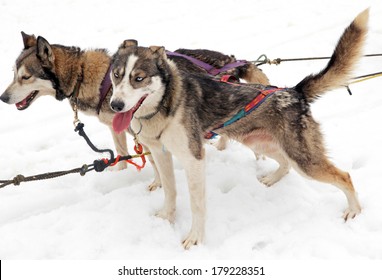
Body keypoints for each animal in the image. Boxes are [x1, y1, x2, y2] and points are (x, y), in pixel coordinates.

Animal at [0, 32, 268, 190]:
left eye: (25, 76)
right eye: (13, 73)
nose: (3, 97)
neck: (86, 76)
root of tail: (229, 59)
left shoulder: (141, 132)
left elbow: (152, 161)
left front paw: (157, 184)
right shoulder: (119, 128)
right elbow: (121, 154)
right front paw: (119, 172)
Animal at [109, 9, 368, 248]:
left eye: (139, 78)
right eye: (116, 75)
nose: (115, 105)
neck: (167, 104)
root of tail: (294, 91)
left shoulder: (194, 159)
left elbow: (197, 204)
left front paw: (195, 238)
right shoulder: (161, 153)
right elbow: (170, 190)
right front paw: (166, 217)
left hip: (304, 161)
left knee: (344, 176)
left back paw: (354, 210)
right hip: (261, 143)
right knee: (285, 164)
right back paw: (272, 179)